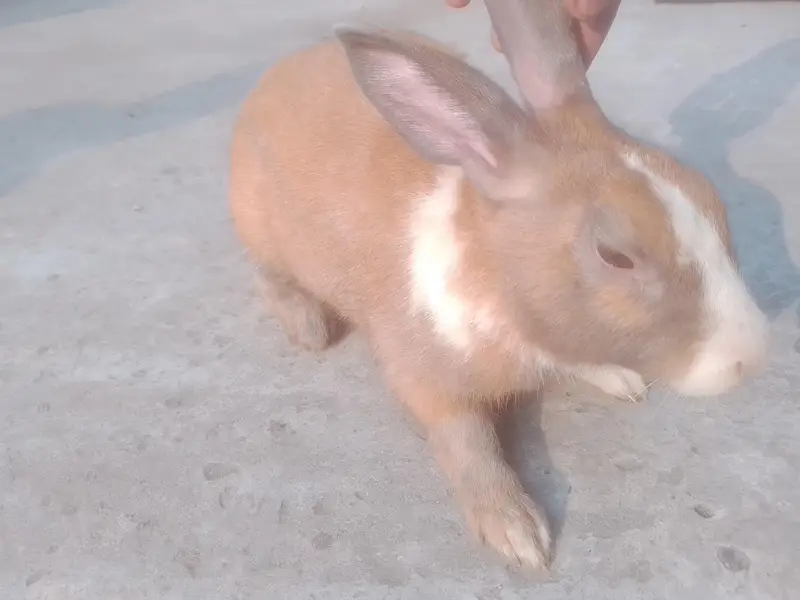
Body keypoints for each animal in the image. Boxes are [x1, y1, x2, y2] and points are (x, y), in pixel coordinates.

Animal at [227, 0, 770, 571]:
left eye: (711, 197)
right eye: (615, 255)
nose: (752, 356)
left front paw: (620, 378)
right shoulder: (426, 378)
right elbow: (468, 443)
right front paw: (517, 532)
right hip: (260, 230)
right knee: (268, 275)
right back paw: (307, 326)